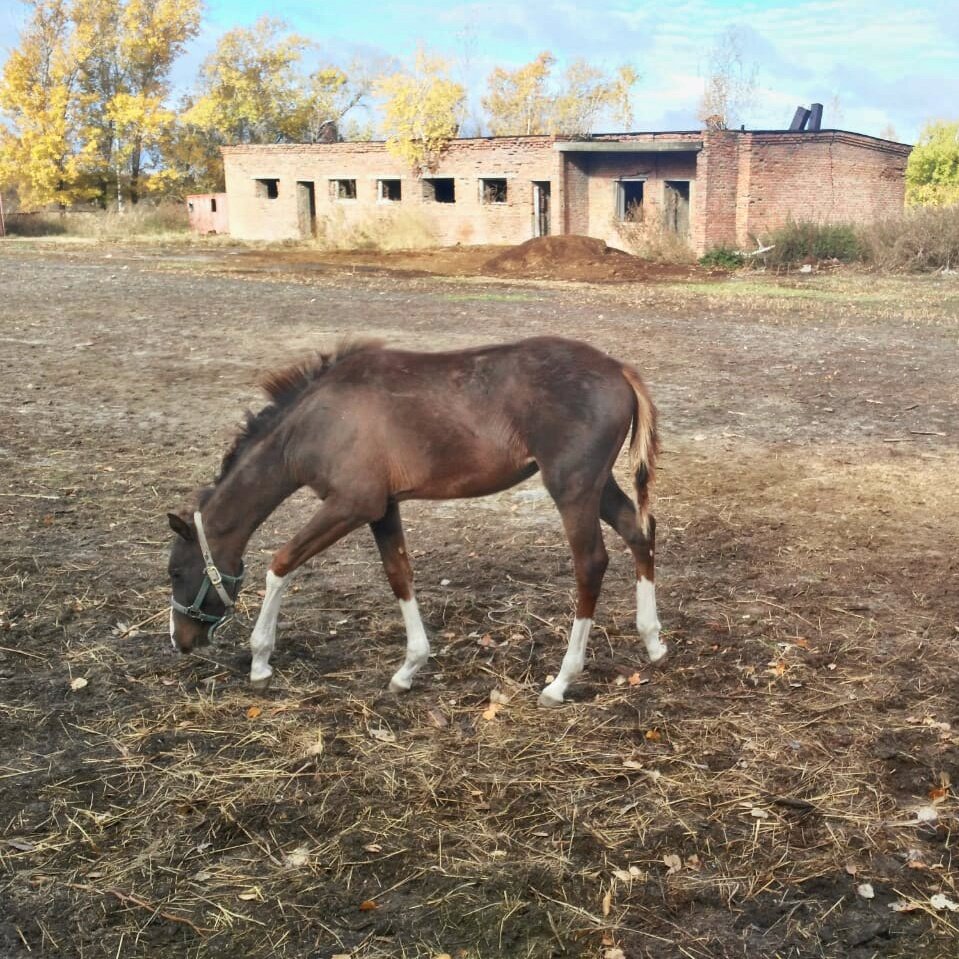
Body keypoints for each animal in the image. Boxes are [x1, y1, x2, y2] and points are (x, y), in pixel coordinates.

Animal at [169, 338, 664, 704]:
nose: (181, 641)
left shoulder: (351, 504)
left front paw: (259, 661)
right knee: (640, 530)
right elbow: (399, 576)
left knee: (591, 563)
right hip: (598, 485)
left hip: (572, 487)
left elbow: (281, 564)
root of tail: (618, 368)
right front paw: (409, 668)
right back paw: (653, 642)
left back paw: (561, 682)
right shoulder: (383, 508)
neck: (315, 421)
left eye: (175, 571)